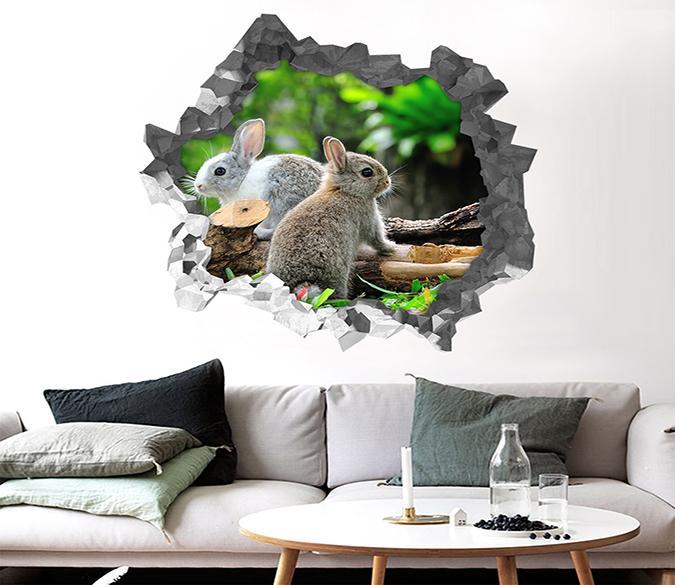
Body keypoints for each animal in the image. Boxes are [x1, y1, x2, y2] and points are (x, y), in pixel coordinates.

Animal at [266, 136, 397, 299]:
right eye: (367, 172)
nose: (387, 182)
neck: (344, 190)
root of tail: (301, 283)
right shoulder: (368, 219)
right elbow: (376, 239)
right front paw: (391, 247)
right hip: (338, 275)